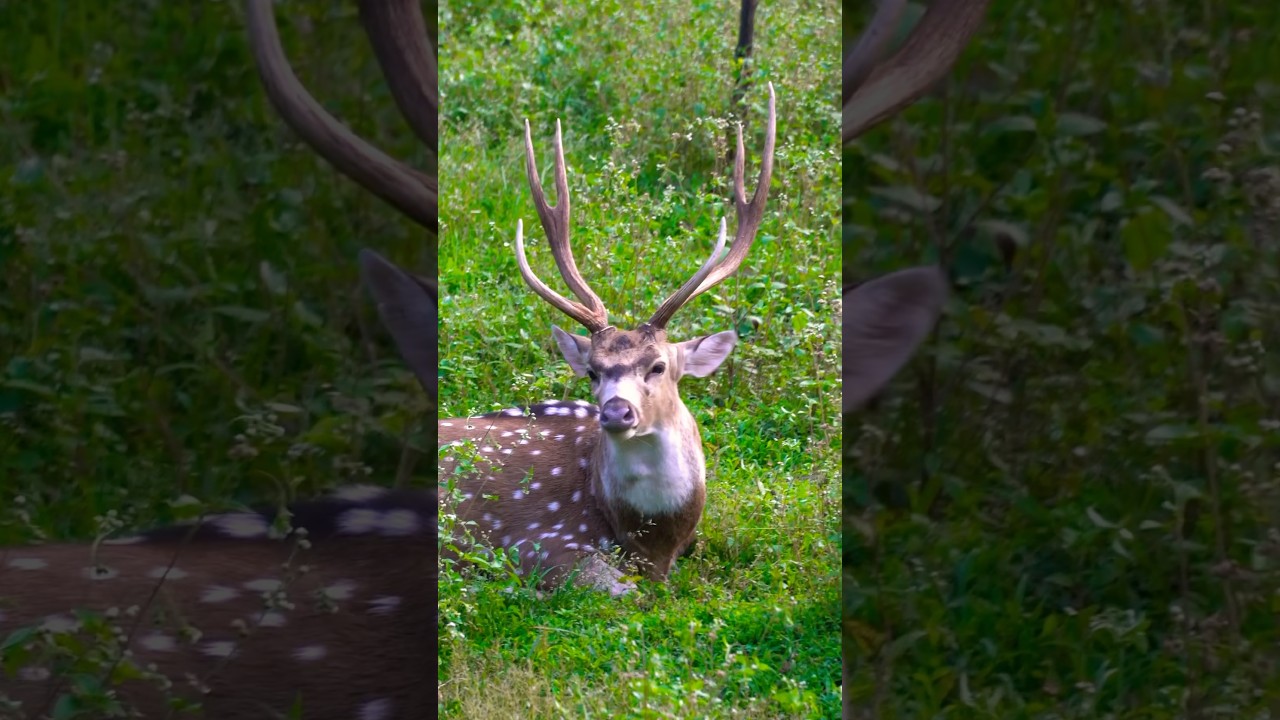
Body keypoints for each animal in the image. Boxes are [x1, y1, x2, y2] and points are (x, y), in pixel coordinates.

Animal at [436, 83, 776, 596]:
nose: (617, 412)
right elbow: (623, 592)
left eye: (658, 366)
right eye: (593, 372)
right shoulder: (536, 537)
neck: (651, 541)